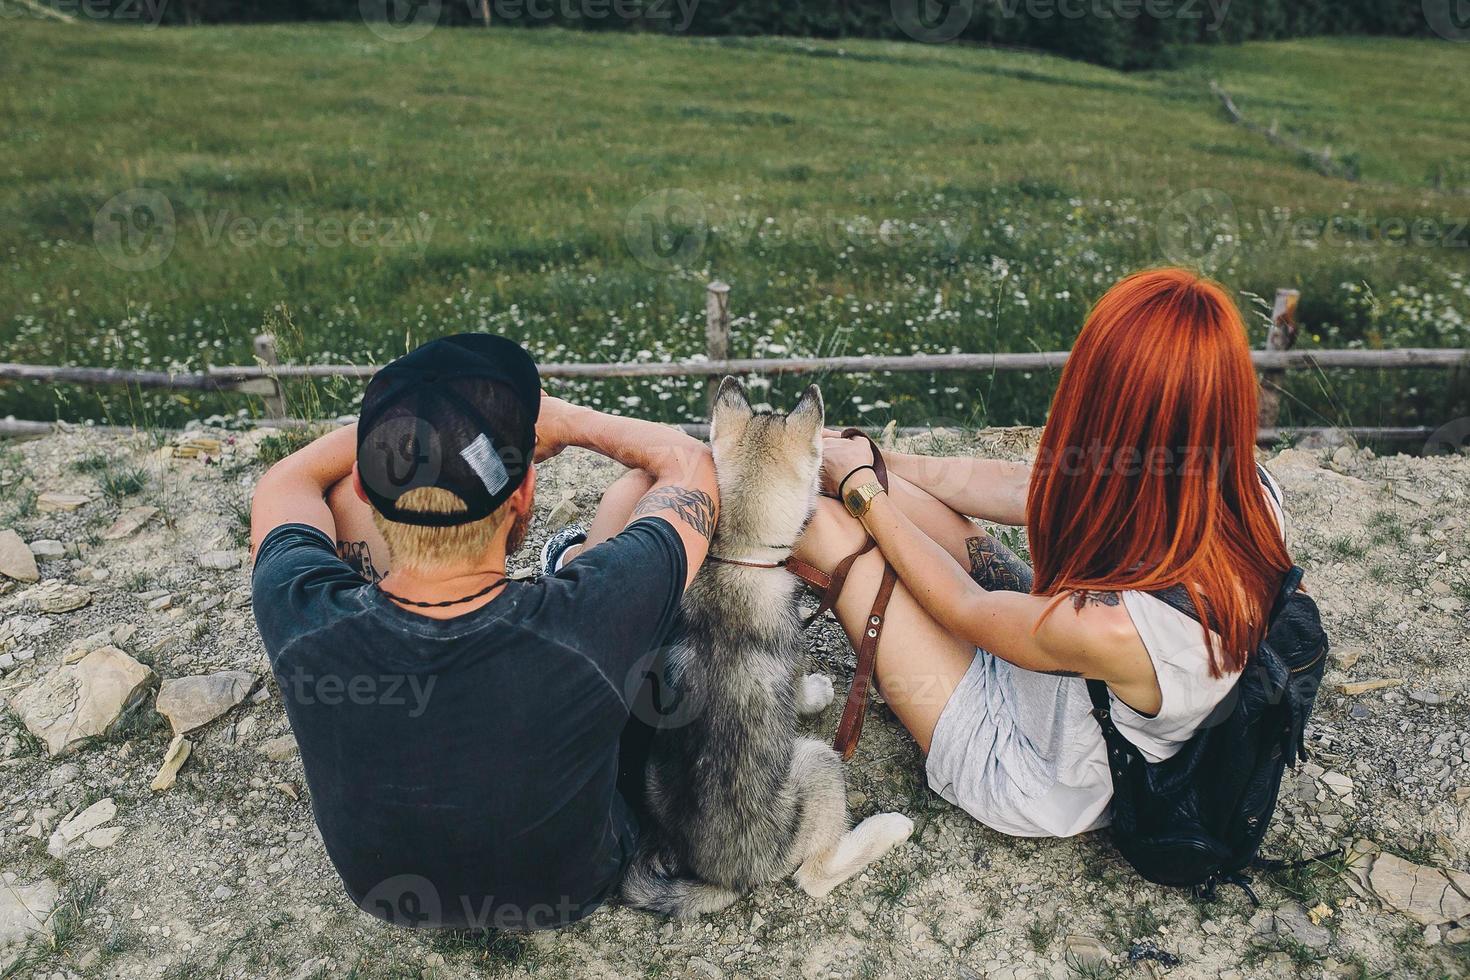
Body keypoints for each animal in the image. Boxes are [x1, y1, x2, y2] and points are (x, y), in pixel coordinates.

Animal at [617, 379, 905, 922]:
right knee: (815, 876)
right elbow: (801, 690)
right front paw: (817, 691)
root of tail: (724, 877)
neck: (738, 557)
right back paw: (892, 827)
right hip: (816, 763)